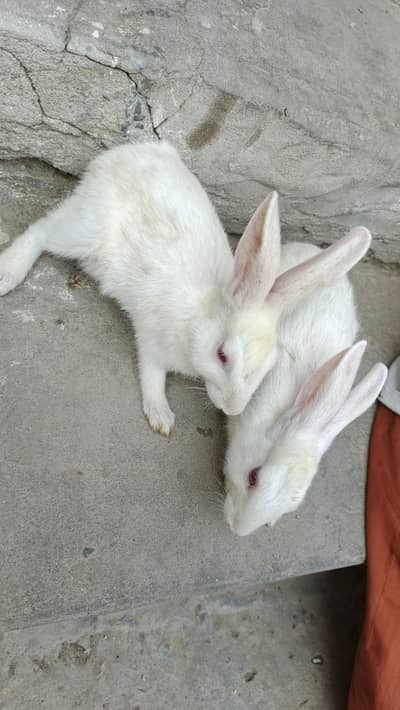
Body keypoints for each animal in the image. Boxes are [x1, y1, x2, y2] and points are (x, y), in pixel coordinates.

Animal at [0, 141, 371, 435]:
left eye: (268, 365)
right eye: (222, 355)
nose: (232, 408)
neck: (198, 322)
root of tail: (128, 151)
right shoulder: (151, 341)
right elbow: (152, 375)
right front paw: (161, 417)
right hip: (85, 231)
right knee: (42, 230)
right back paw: (8, 273)